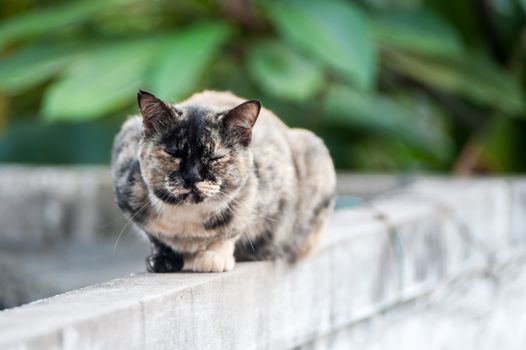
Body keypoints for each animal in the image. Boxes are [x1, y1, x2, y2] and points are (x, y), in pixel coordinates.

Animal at [112, 90, 338, 274]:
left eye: (215, 157)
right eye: (173, 153)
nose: (192, 176)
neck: (188, 219)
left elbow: (231, 230)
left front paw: (214, 257)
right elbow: (155, 236)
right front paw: (162, 259)